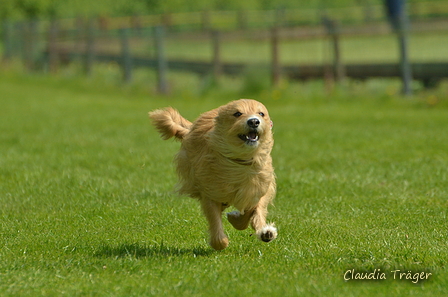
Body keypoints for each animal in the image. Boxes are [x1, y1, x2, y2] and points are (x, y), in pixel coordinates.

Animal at [150, 99, 276, 250]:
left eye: (261, 113)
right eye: (237, 113)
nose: (254, 121)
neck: (241, 161)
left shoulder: (259, 187)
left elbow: (255, 208)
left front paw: (264, 231)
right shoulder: (210, 191)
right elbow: (215, 218)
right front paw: (220, 241)